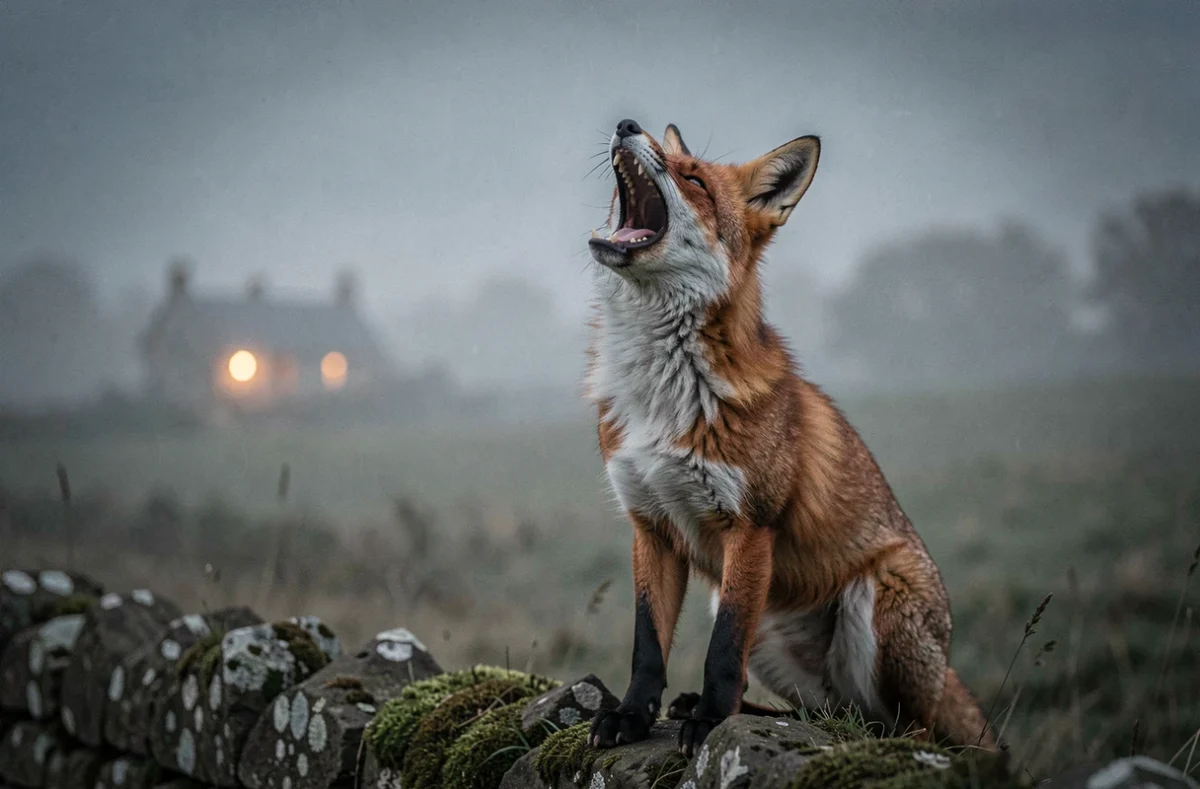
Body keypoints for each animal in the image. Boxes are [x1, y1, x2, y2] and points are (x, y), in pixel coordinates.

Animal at [583, 118, 999, 757]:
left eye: (694, 179)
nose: (628, 124)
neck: (664, 392)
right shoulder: (649, 525)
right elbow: (647, 643)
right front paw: (631, 716)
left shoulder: (751, 525)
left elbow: (722, 650)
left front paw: (711, 723)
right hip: (776, 633)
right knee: (830, 712)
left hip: (878, 600)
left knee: (904, 730)